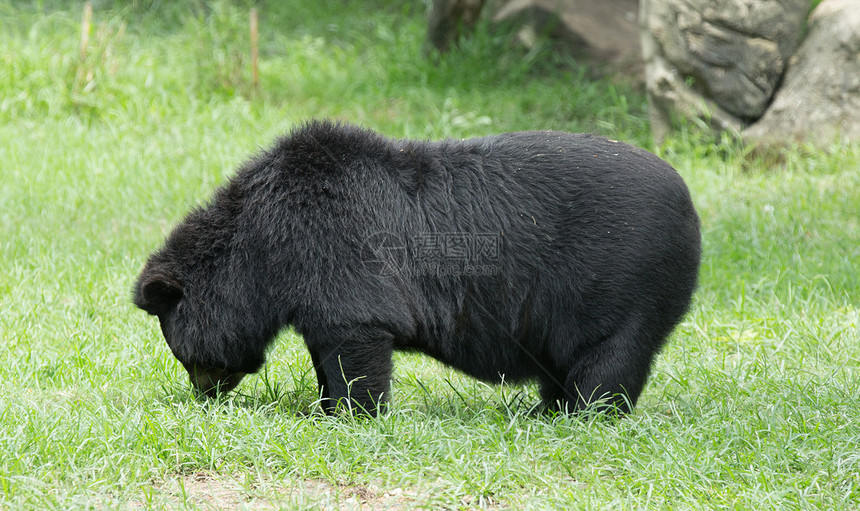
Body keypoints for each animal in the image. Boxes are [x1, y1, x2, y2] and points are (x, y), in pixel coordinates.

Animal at [133, 120, 700, 416]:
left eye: (186, 355)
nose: (205, 394)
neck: (261, 244)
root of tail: (690, 204)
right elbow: (324, 347)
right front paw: (326, 407)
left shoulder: (336, 254)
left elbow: (357, 339)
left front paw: (357, 415)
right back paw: (543, 410)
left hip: (623, 283)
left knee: (608, 358)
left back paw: (578, 414)